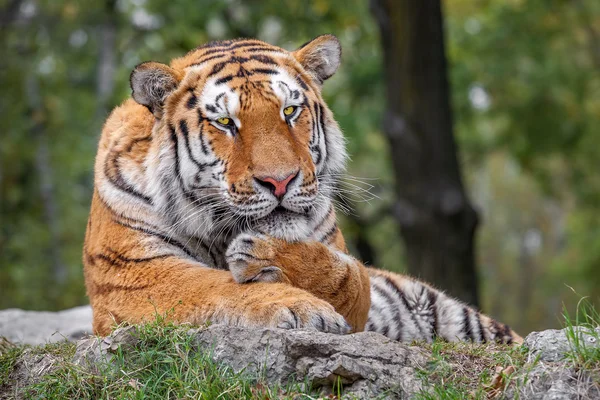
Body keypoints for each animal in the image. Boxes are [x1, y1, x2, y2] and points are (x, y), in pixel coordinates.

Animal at [82, 35, 524, 344]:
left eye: (290, 111)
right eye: (225, 122)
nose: (279, 181)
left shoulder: (344, 266)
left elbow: (351, 278)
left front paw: (267, 256)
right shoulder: (133, 273)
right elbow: (209, 286)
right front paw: (298, 306)